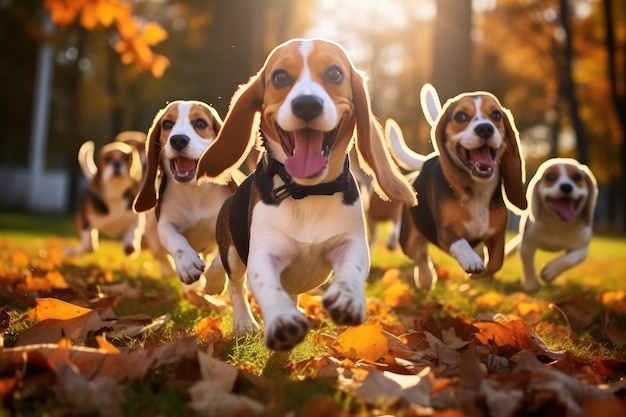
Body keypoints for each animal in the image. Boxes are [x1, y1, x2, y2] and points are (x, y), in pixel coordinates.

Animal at [133, 100, 240, 292]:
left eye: (200, 123)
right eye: (167, 124)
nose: (178, 140)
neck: (194, 191)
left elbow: (222, 257)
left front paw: (214, 281)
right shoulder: (166, 223)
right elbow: (175, 240)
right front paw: (187, 265)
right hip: (152, 233)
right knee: (161, 256)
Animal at [196, 39, 414, 350]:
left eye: (335, 74)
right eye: (280, 77)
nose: (307, 104)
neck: (307, 190)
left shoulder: (351, 242)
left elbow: (353, 267)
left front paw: (346, 298)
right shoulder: (264, 253)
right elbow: (266, 284)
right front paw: (281, 319)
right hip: (233, 248)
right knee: (235, 281)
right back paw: (241, 318)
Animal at [392, 86, 524, 290]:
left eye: (496, 115)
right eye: (460, 117)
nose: (485, 128)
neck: (478, 192)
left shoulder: (496, 235)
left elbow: (496, 263)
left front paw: (477, 274)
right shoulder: (445, 232)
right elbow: (460, 243)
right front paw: (471, 260)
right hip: (408, 240)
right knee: (419, 255)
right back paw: (425, 278)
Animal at [502, 158, 596, 290]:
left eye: (577, 177)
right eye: (550, 176)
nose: (566, 187)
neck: (557, 222)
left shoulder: (582, 247)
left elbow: (570, 259)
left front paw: (551, 271)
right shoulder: (527, 244)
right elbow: (528, 265)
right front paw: (531, 284)